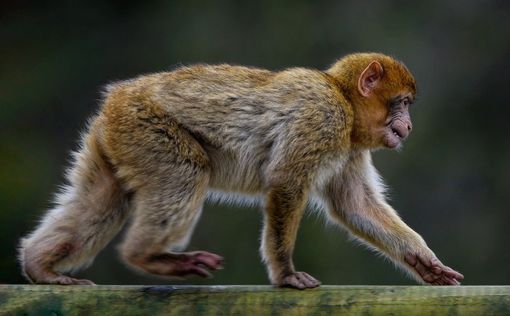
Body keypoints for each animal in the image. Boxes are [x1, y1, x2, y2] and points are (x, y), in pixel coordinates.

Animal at [18, 53, 462, 290]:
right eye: (401, 104)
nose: (408, 126)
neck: (344, 100)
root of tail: (118, 96)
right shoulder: (323, 117)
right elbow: (286, 183)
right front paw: (285, 274)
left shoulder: (350, 147)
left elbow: (354, 205)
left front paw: (423, 261)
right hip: (144, 125)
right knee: (186, 172)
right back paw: (146, 255)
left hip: (114, 137)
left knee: (102, 200)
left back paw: (41, 267)